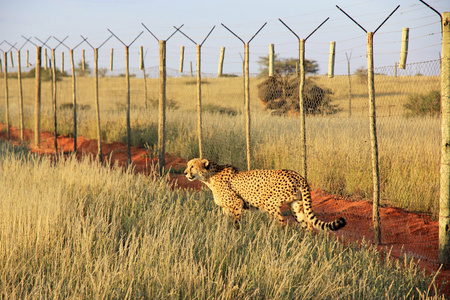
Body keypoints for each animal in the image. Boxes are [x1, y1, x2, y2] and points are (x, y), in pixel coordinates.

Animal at [185, 158, 346, 231]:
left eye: (192, 166)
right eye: (188, 165)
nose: (185, 173)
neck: (209, 177)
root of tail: (297, 174)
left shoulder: (237, 203)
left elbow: (236, 222)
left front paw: (236, 233)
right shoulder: (225, 207)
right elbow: (226, 222)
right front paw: (225, 232)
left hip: (270, 203)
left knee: (281, 223)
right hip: (296, 206)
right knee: (308, 225)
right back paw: (305, 246)